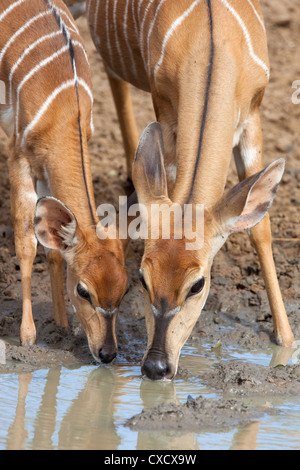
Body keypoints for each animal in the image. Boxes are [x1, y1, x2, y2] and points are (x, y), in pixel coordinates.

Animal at [0, 0, 127, 364]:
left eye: (126, 290)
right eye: (83, 291)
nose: (107, 353)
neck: (64, 109)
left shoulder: (46, 171)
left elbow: (53, 250)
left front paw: (61, 326)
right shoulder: (18, 157)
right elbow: (26, 245)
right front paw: (28, 336)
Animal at [87, 0, 296, 380]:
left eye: (198, 284)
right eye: (142, 277)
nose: (156, 366)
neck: (212, 46)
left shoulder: (253, 117)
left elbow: (260, 228)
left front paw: (285, 342)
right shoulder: (165, 111)